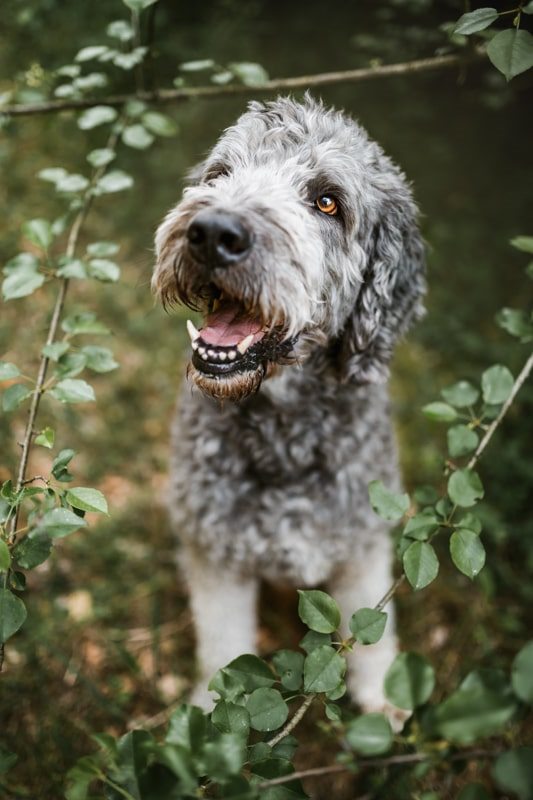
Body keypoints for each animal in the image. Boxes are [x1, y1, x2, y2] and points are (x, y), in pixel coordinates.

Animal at [152, 94, 426, 720]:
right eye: (220, 175)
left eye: (327, 201)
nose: (211, 232)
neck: (284, 430)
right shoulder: (216, 553)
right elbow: (223, 646)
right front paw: (211, 722)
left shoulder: (361, 544)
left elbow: (371, 632)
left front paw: (381, 697)